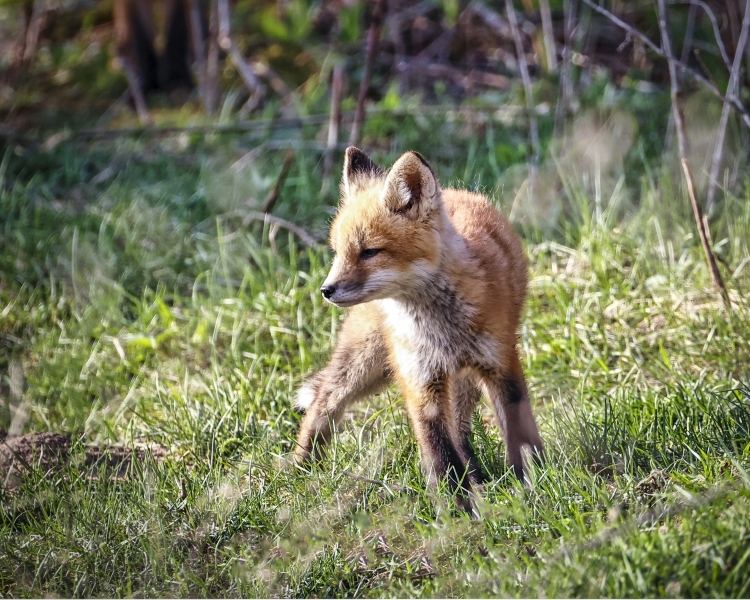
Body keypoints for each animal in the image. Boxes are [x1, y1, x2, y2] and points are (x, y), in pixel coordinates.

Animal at [294, 147, 543, 507]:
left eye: (370, 252)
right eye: (338, 252)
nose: (326, 290)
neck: (441, 331)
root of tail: (454, 191)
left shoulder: (500, 364)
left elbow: (519, 436)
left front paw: (534, 485)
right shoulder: (420, 381)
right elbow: (439, 453)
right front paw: (456, 509)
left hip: (462, 381)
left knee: (461, 429)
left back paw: (476, 475)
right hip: (365, 366)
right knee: (322, 404)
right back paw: (295, 472)